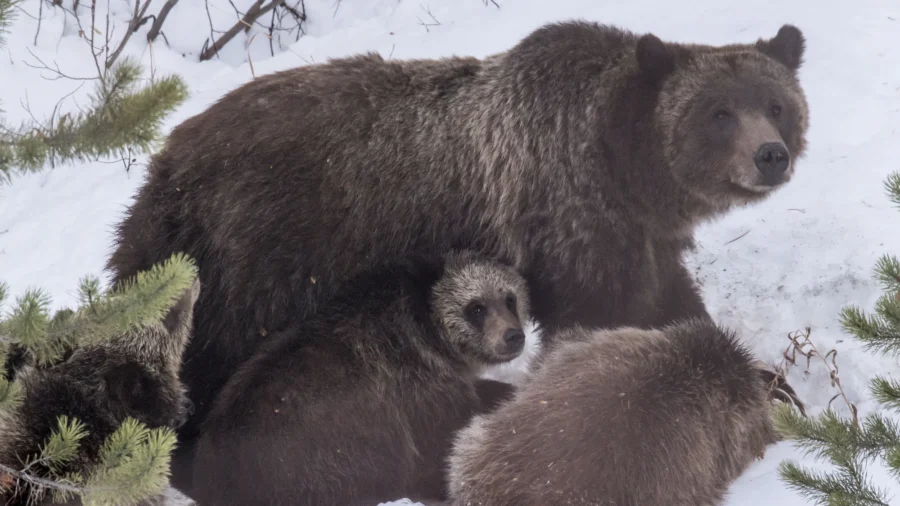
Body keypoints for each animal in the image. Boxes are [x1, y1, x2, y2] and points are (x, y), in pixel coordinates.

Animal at [105, 19, 808, 450]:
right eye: (719, 113)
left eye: (776, 104)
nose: (771, 155)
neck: (624, 168)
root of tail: (166, 162)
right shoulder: (569, 216)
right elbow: (606, 318)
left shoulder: (638, 236)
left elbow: (670, 304)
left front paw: (772, 383)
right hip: (261, 255)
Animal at [187, 251, 532, 504]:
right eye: (476, 307)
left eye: (509, 298)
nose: (513, 336)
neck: (435, 338)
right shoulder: (417, 387)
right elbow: (441, 444)